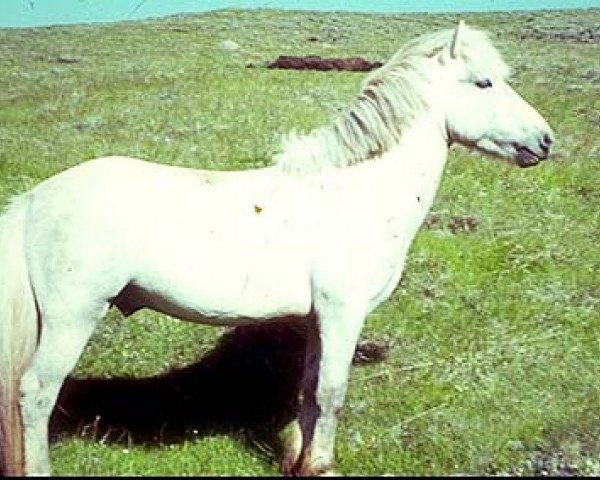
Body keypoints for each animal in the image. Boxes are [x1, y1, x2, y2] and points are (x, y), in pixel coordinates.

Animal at [0, 20, 552, 474]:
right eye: (484, 82)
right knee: (35, 393)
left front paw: (297, 460)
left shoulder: (318, 318)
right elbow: (333, 392)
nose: (545, 140)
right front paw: (321, 466)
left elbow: (310, 390)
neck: (356, 192)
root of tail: (35, 199)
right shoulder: (343, 311)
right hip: (74, 317)